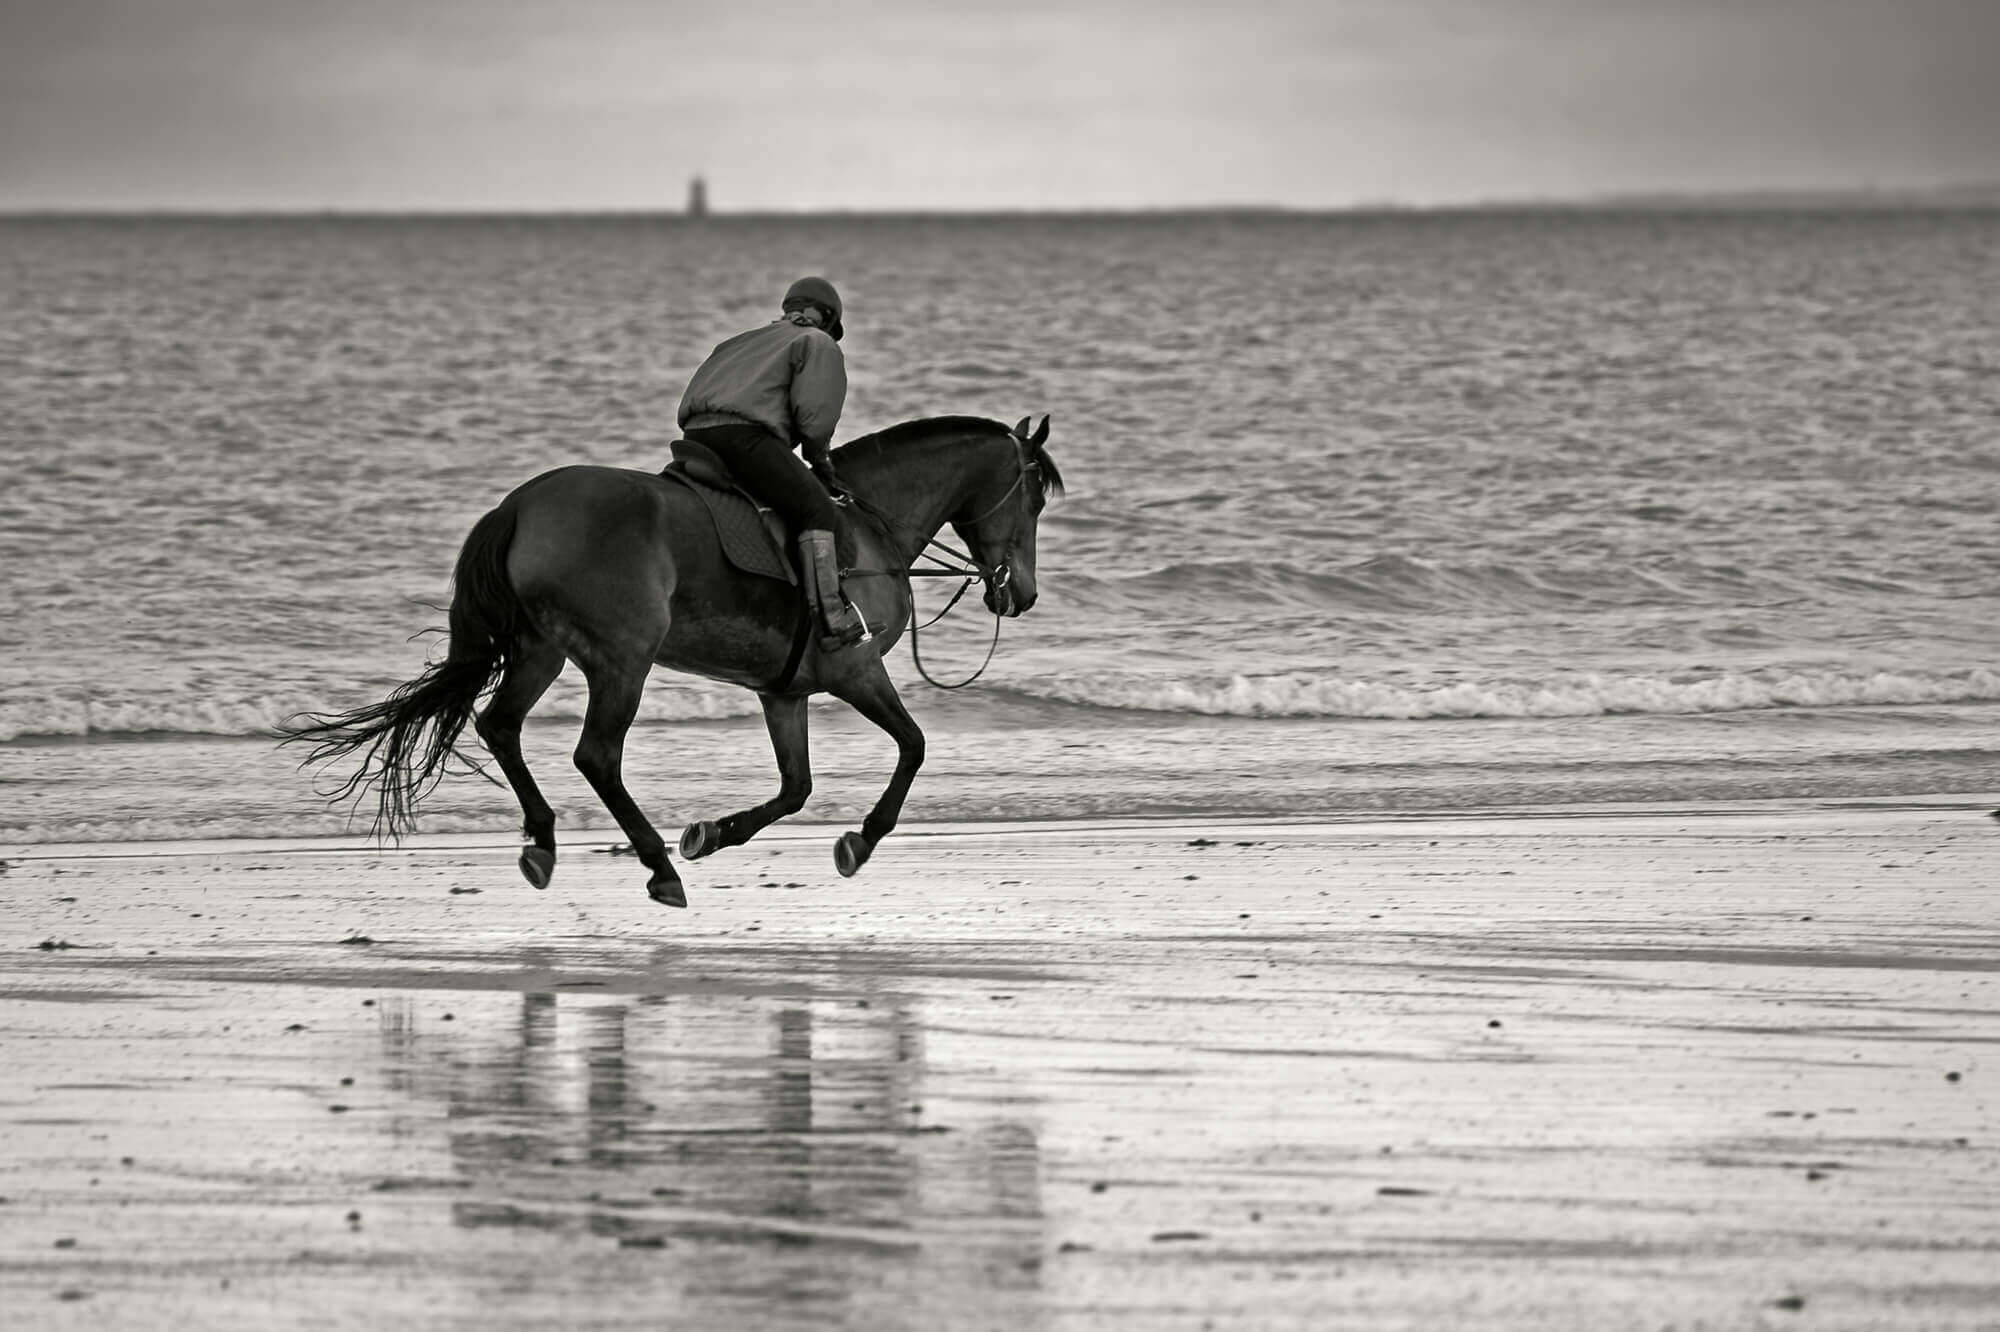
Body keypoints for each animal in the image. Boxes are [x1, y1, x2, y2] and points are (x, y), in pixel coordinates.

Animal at [286, 412, 1064, 904]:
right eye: (1033, 499)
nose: (1021, 592)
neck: (867, 521)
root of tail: (521, 506)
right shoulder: (856, 670)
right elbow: (913, 746)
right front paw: (862, 839)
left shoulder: (784, 692)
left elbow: (796, 788)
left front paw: (713, 833)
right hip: (622, 660)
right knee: (596, 755)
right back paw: (657, 865)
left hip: (542, 653)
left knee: (501, 727)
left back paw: (546, 839)